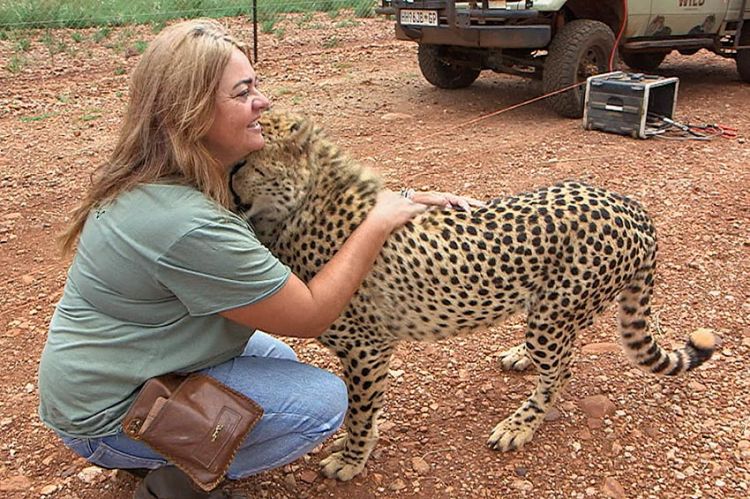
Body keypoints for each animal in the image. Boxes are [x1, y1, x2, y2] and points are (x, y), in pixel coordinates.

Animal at [232, 111, 720, 482]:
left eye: (241, 165)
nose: (229, 193)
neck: (304, 206)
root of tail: (625, 202)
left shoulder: (367, 348)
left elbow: (360, 412)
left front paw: (352, 460)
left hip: (553, 314)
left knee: (562, 367)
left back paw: (520, 423)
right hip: (558, 309)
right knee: (565, 348)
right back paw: (523, 356)